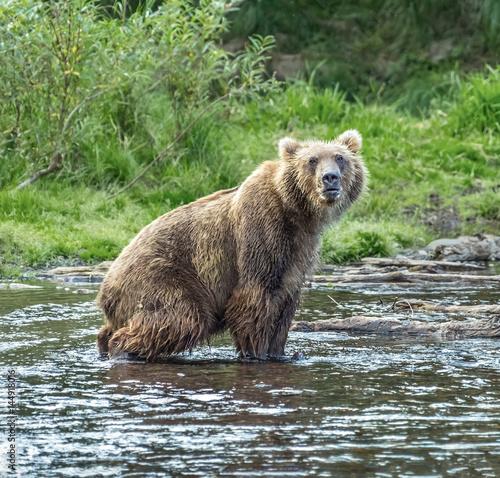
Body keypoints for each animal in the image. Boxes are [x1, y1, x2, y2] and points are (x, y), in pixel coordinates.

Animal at [96, 129, 368, 360]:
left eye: (340, 158)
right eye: (312, 160)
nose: (330, 178)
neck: (297, 213)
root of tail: (106, 289)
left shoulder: (299, 250)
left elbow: (284, 306)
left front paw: (281, 352)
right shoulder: (261, 231)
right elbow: (254, 299)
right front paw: (257, 353)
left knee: (112, 329)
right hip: (162, 276)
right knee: (181, 318)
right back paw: (122, 348)